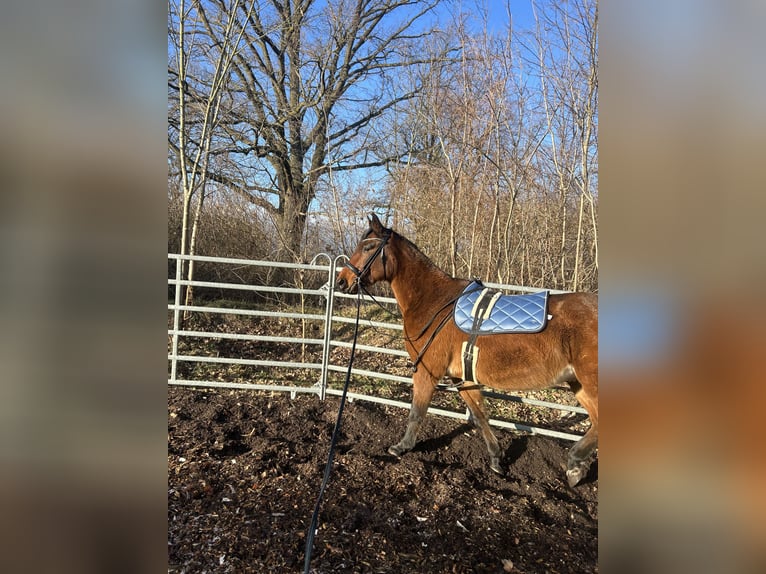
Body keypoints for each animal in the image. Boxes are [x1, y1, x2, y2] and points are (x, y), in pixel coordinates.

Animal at [338, 214, 600, 488]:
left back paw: (575, 461)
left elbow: (417, 411)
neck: (434, 301)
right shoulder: (461, 377)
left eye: (368, 247)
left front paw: (402, 447)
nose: (342, 280)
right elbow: (479, 415)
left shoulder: (428, 371)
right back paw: (578, 466)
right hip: (579, 384)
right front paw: (496, 459)